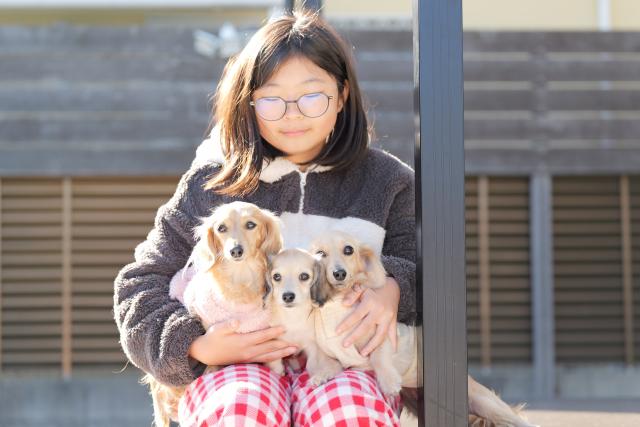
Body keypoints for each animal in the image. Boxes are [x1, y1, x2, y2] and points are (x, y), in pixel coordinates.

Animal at [143, 201, 283, 427]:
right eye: (221, 228)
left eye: (250, 225)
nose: (235, 250)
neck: (240, 281)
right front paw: (211, 371)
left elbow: (277, 365)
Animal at [264, 248, 343, 386]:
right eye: (276, 276)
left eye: (304, 276)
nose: (288, 296)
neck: (293, 317)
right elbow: (275, 362)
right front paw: (279, 372)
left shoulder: (313, 345)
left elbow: (313, 364)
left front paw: (319, 376)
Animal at [310, 231, 538, 427]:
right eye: (320, 253)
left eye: (348, 249)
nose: (339, 273)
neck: (337, 307)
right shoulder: (332, 351)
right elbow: (330, 363)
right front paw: (321, 375)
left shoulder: (382, 329)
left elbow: (379, 356)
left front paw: (388, 380)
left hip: (486, 403)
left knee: (522, 421)